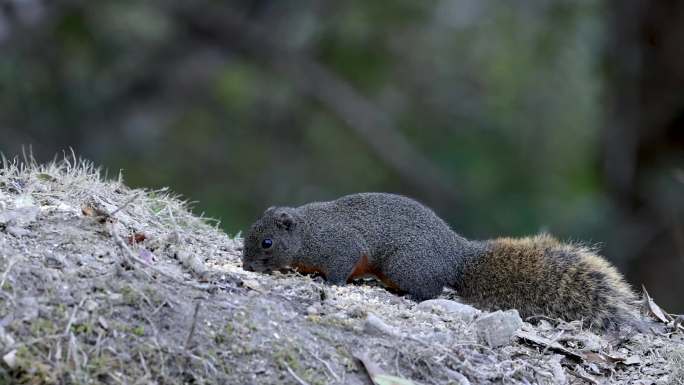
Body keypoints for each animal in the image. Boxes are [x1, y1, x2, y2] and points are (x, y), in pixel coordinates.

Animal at [242, 192, 640, 330]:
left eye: (267, 242)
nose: (246, 267)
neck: (308, 232)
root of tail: (457, 256)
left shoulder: (340, 247)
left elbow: (340, 267)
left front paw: (329, 282)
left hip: (406, 264)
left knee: (430, 289)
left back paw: (410, 295)